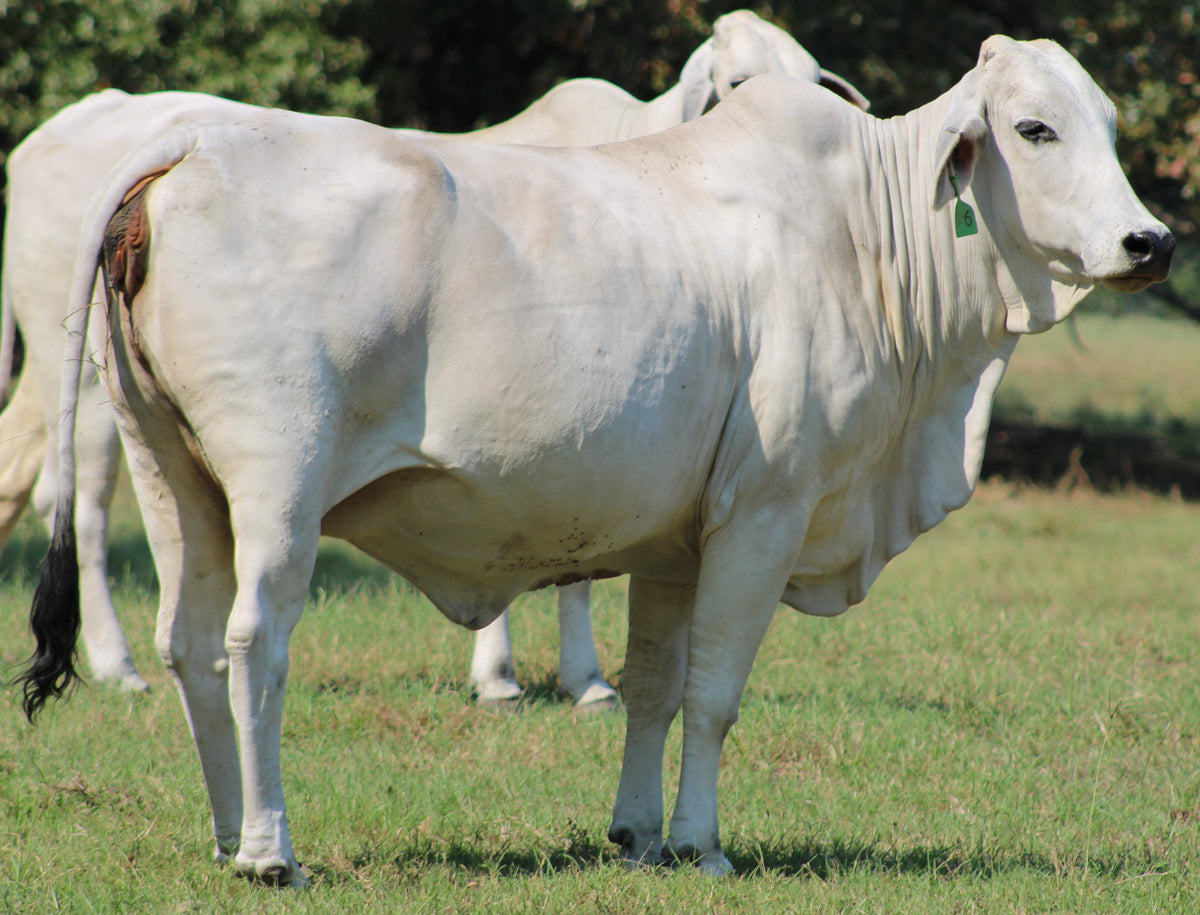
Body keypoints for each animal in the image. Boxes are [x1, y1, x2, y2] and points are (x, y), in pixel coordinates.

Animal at [0, 10, 864, 701]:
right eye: (737, 80)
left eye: (811, 77)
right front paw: (524, 678)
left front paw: (570, 678)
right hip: (87, 381)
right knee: (78, 502)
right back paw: (116, 664)